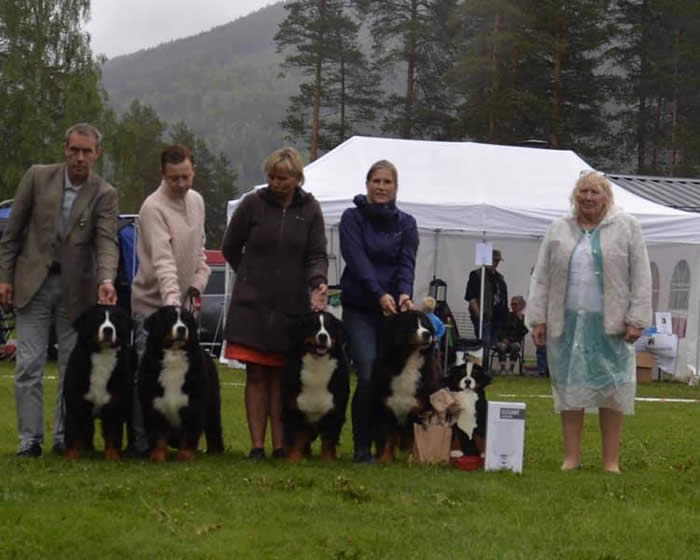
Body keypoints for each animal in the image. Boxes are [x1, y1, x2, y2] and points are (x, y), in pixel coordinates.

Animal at [63, 306, 135, 460]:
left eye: (115, 321)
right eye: (98, 320)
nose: (108, 330)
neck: (102, 357)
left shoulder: (115, 405)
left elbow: (113, 435)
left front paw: (113, 457)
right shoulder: (75, 404)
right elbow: (73, 433)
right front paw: (71, 457)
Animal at [137, 306, 224, 460]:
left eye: (186, 321)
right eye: (170, 319)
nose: (182, 329)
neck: (174, 355)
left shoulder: (194, 404)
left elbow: (189, 433)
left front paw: (186, 455)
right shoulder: (153, 405)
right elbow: (158, 435)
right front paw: (157, 456)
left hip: (212, 403)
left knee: (213, 428)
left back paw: (215, 452)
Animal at [282, 312, 350, 462]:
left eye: (329, 327)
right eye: (314, 326)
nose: (323, 336)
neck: (317, 367)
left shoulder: (334, 410)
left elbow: (329, 439)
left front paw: (328, 460)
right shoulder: (295, 408)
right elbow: (297, 437)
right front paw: (294, 459)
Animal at [374, 308, 434, 462]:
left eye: (426, 325)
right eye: (412, 325)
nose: (427, 334)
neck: (408, 363)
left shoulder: (419, 411)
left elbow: (414, 440)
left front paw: (412, 460)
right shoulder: (386, 407)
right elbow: (387, 436)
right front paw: (385, 460)